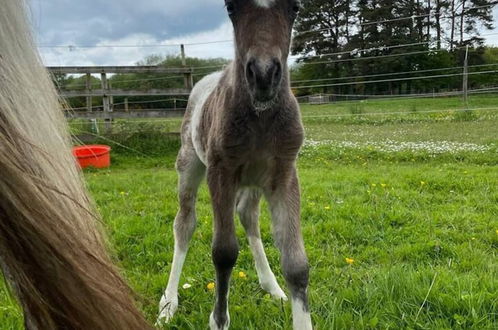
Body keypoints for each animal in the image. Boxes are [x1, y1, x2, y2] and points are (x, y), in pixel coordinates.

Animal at [159, 1, 312, 328]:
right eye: (230, 7)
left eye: (295, 7)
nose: (264, 75)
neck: (261, 119)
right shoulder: (221, 172)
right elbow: (224, 252)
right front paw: (218, 320)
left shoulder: (284, 174)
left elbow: (296, 263)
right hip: (189, 164)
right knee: (184, 223)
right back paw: (168, 303)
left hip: (254, 180)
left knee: (247, 215)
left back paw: (272, 287)